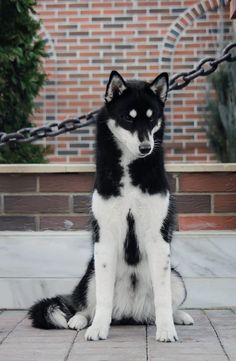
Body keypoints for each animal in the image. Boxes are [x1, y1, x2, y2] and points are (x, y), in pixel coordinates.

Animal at [28, 69, 194, 340]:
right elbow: (103, 298)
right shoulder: (105, 238)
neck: (129, 171)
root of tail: (130, 314)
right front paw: (97, 329)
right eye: (128, 118)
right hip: (91, 275)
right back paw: (79, 320)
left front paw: (166, 330)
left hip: (176, 277)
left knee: (166, 302)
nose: (146, 147)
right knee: (86, 306)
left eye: (151, 118)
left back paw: (178, 316)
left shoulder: (158, 239)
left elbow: (163, 298)